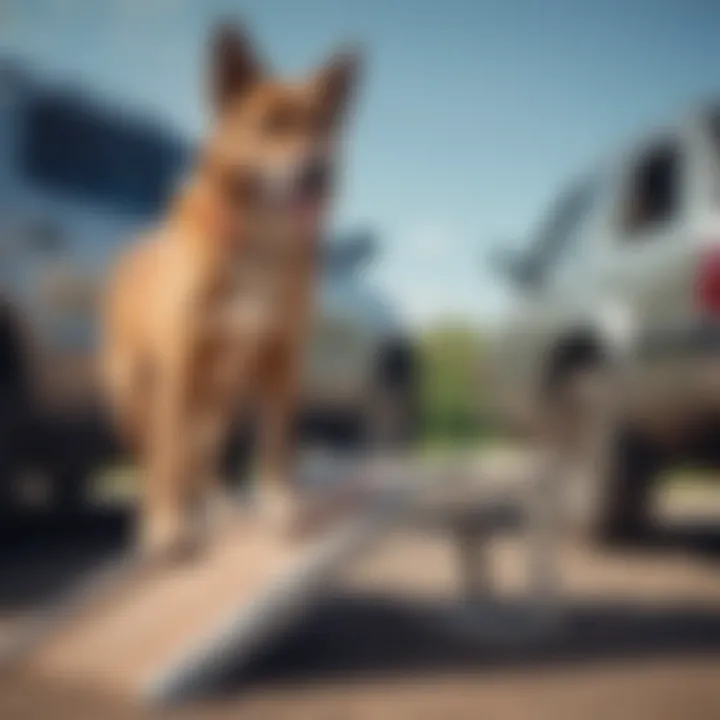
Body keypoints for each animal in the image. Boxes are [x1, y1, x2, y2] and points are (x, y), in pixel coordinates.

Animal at [101, 19, 360, 556]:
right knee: (157, 456)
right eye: (270, 124)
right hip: (133, 390)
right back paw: (162, 514)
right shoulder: (183, 362)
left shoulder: (281, 359)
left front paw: (280, 505)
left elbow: (276, 445)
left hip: (220, 399)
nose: (319, 170)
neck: (257, 245)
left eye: (322, 126)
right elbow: (168, 457)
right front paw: (166, 524)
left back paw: (218, 508)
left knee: (202, 457)